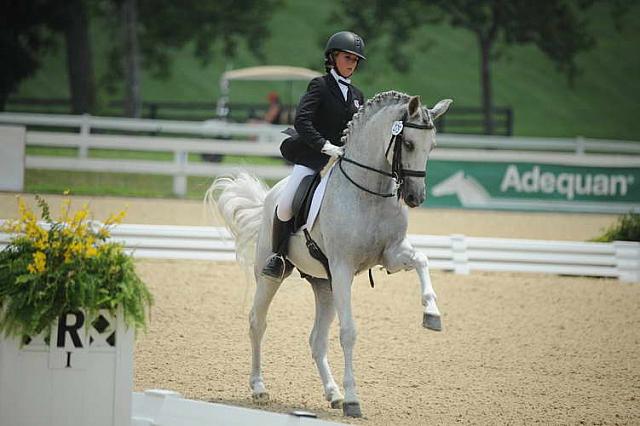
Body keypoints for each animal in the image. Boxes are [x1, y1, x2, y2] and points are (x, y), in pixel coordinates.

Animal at [208, 91, 452, 418]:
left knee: (317, 340)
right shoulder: (343, 268)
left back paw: (333, 393)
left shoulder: (390, 254)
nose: (416, 197)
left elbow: (422, 260)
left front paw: (432, 314)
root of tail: (271, 195)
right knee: (257, 322)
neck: (370, 193)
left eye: (432, 146)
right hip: (273, 274)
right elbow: (348, 333)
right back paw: (259, 388)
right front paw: (353, 400)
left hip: (325, 285)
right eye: (410, 144)